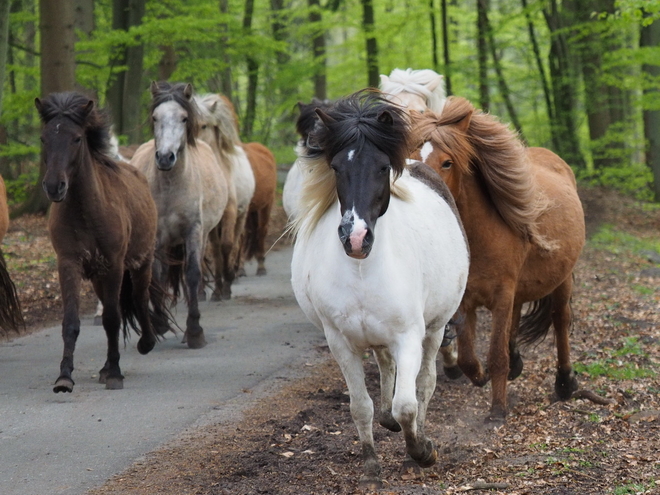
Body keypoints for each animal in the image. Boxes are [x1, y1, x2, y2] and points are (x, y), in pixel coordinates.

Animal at [35, 93, 170, 394]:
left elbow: (112, 318)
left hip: (140, 264)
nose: (54, 186)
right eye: (44, 138)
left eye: (76, 138)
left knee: (139, 299)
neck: (86, 210)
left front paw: (116, 374)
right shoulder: (69, 263)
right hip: (98, 276)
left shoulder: (115, 265)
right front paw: (64, 377)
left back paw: (145, 343)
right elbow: (72, 322)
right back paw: (106, 366)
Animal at [290, 91, 470, 490]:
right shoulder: (340, 342)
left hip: (435, 328)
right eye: (336, 167)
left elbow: (408, 404)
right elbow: (360, 406)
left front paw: (422, 451)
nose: (356, 238)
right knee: (386, 371)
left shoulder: (409, 336)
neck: (362, 270)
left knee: (424, 384)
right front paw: (371, 467)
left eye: (383, 167)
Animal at [410, 97, 584, 422]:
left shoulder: (502, 294)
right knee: (518, 315)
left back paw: (565, 382)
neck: (480, 236)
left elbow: (495, 353)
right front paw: (481, 376)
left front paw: (498, 410)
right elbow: (468, 356)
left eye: (447, 162)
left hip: (562, 278)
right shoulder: (466, 299)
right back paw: (517, 362)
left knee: (560, 320)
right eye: (410, 157)